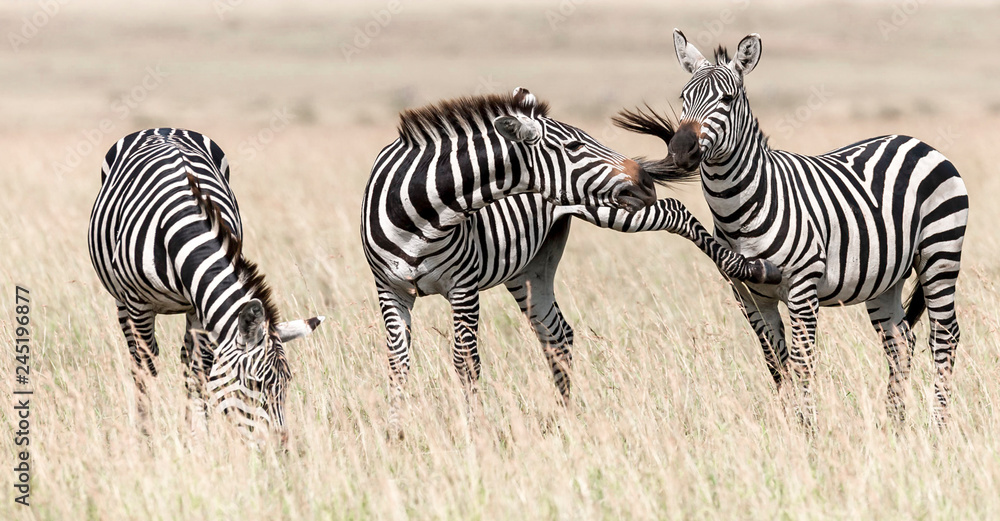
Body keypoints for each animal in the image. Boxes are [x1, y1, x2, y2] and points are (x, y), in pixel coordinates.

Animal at [88, 128, 324, 443]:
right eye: (255, 383)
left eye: (287, 384)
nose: (280, 447)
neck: (183, 229)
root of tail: (162, 128)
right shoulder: (139, 304)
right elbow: (147, 366)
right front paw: (147, 438)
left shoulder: (200, 305)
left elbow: (201, 370)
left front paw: (198, 435)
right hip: (122, 299)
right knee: (138, 358)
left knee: (187, 359)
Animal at [361, 87, 780, 434]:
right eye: (575, 146)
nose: (645, 181)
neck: (422, 215)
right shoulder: (390, 289)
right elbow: (398, 363)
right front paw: (395, 435)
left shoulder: (463, 287)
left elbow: (466, 362)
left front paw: (473, 434)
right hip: (531, 269)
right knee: (556, 334)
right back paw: (564, 419)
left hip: (613, 210)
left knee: (675, 210)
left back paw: (751, 267)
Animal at [631, 30, 968, 426]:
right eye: (683, 97)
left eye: (727, 100)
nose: (680, 151)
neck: (739, 209)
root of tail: (916, 142)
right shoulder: (748, 296)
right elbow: (777, 363)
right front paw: (788, 427)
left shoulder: (802, 290)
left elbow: (803, 362)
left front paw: (808, 430)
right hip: (885, 278)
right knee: (900, 342)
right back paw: (894, 426)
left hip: (940, 254)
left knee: (944, 337)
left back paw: (937, 426)